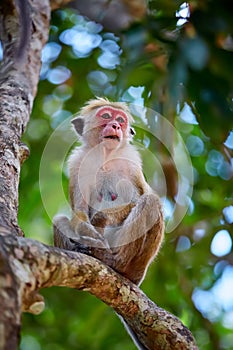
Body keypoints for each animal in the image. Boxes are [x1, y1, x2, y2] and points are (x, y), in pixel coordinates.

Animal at [53, 97, 165, 348]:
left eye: (120, 120)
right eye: (105, 116)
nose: (115, 125)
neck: (104, 155)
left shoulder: (132, 163)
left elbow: (141, 196)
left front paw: (102, 218)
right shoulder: (77, 164)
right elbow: (78, 212)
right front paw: (87, 229)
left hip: (136, 263)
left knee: (151, 202)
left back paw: (113, 261)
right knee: (59, 219)